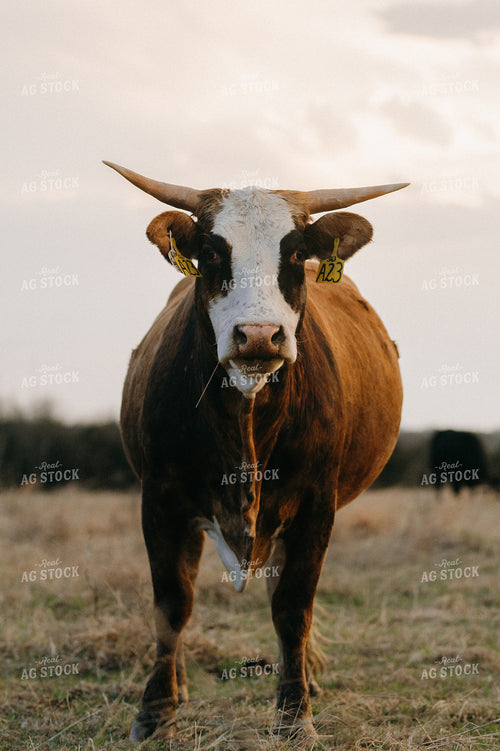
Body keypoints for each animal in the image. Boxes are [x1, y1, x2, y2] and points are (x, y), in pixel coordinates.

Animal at [104, 160, 407, 742]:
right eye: (211, 252)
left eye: (295, 253)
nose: (260, 336)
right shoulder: (160, 500)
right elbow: (172, 604)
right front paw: (155, 714)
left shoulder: (316, 506)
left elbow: (292, 606)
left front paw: (295, 716)